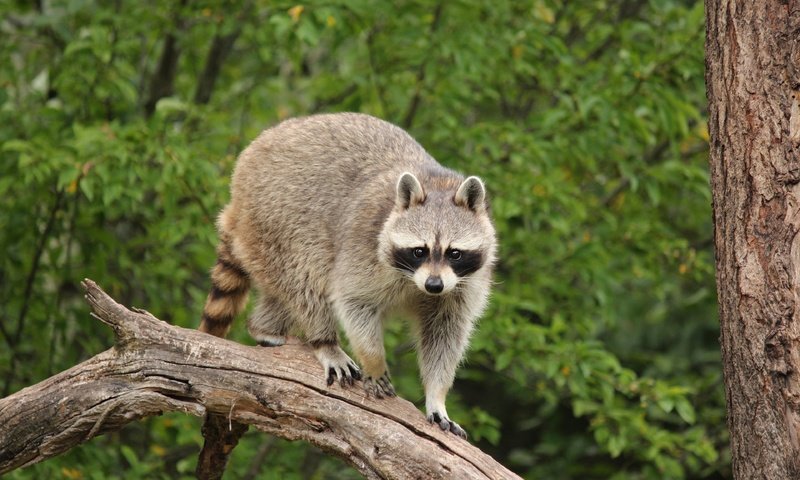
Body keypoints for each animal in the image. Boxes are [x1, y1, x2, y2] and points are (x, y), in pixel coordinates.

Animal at [198, 113, 494, 438]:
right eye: (419, 251)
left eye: (455, 253)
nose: (434, 285)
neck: (437, 183)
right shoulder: (363, 244)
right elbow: (353, 301)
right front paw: (374, 361)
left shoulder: (464, 284)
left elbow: (445, 333)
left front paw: (437, 396)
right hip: (276, 217)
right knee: (307, 277)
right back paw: (323, 341)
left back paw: (264, 327)